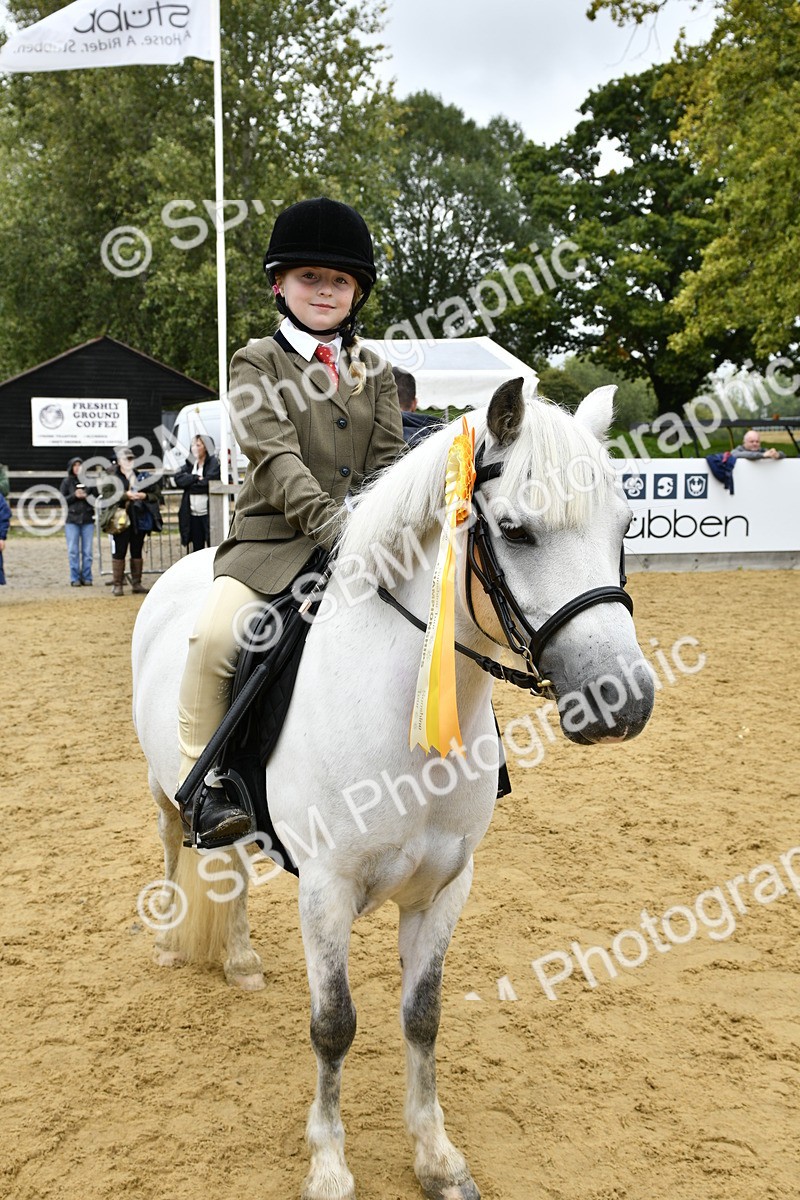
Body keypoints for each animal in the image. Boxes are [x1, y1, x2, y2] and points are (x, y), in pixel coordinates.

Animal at [131, 378, 655, 1200]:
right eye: (516, 530)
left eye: (624, 524)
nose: (624, 701)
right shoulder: (327, 888)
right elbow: (334, 1026)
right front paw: (329, 1165)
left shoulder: (445, 886)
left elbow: (422, 1017)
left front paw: (436, 1157)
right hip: (165, 790)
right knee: (179, 850)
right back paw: (172, 942)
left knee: (233, 872)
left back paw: (241, 961)